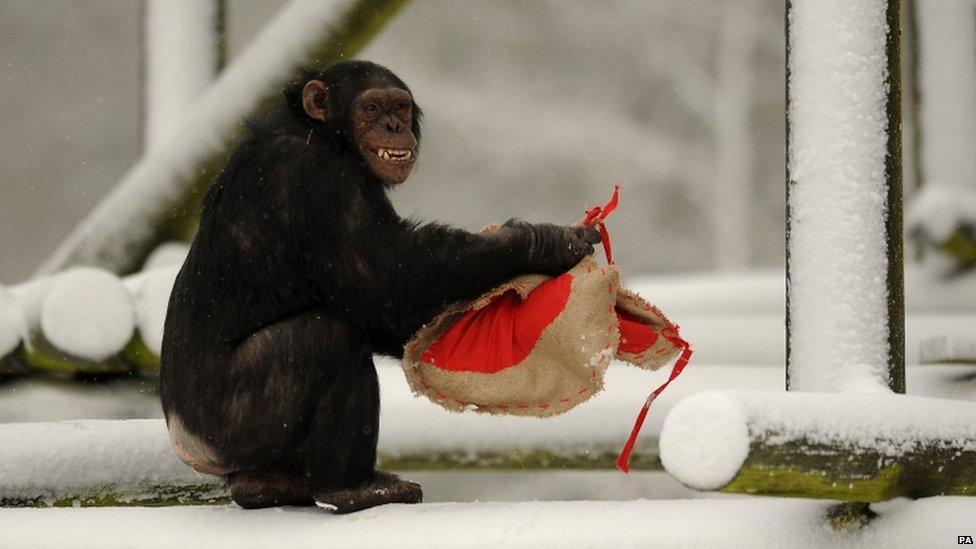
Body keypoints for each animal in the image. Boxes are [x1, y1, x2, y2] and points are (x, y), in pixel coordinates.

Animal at [160, 61, 604, 512]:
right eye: (372, 107)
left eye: (399, 106)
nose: (393, 125)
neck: (327, 136)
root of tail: (188, 447)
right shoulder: (322, 181)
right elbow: (389, 281)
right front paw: (546, 240)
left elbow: (387, 314)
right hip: (235, 422)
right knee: (326, 336)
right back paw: (352, 488)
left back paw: (269, 486)